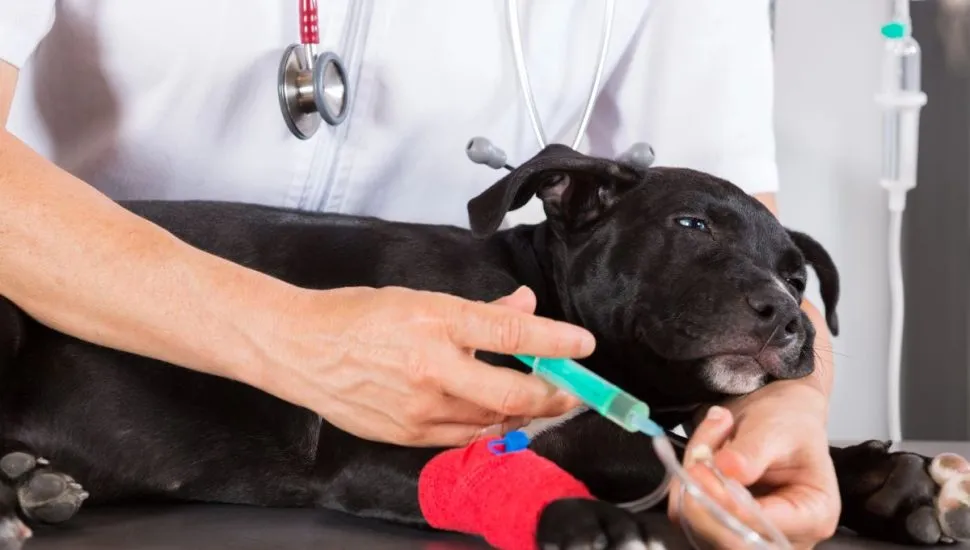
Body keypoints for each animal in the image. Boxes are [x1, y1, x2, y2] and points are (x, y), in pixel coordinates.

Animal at [0, 144, 964, 548]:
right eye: (692, 225)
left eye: (800, 278)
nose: (789, 321)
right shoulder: (383, 444)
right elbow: (571, 455)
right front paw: (583, 514)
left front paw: (887, 479)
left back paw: (25, 487)